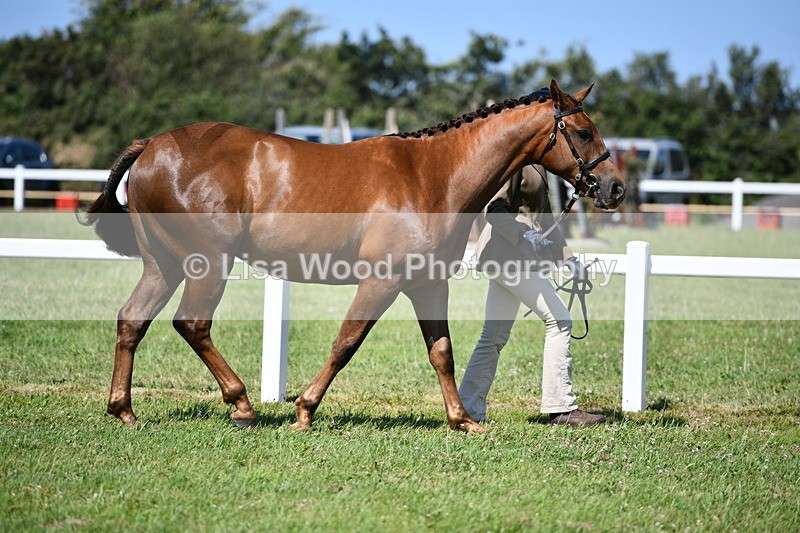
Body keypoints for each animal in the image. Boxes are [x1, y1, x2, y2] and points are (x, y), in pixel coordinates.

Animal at [81, 79, 625, 434]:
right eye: (583, 131)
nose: (615, 187)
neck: (434, 175)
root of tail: (151, 145)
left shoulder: (428, 284)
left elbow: (442, 352)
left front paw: (462, 421)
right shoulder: (381, 281)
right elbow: (346, 342)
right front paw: (304, 411)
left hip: (164, 266)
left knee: (132, 320)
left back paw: (124, 410)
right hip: (207, 264)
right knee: (192, 324)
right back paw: (242, 406)